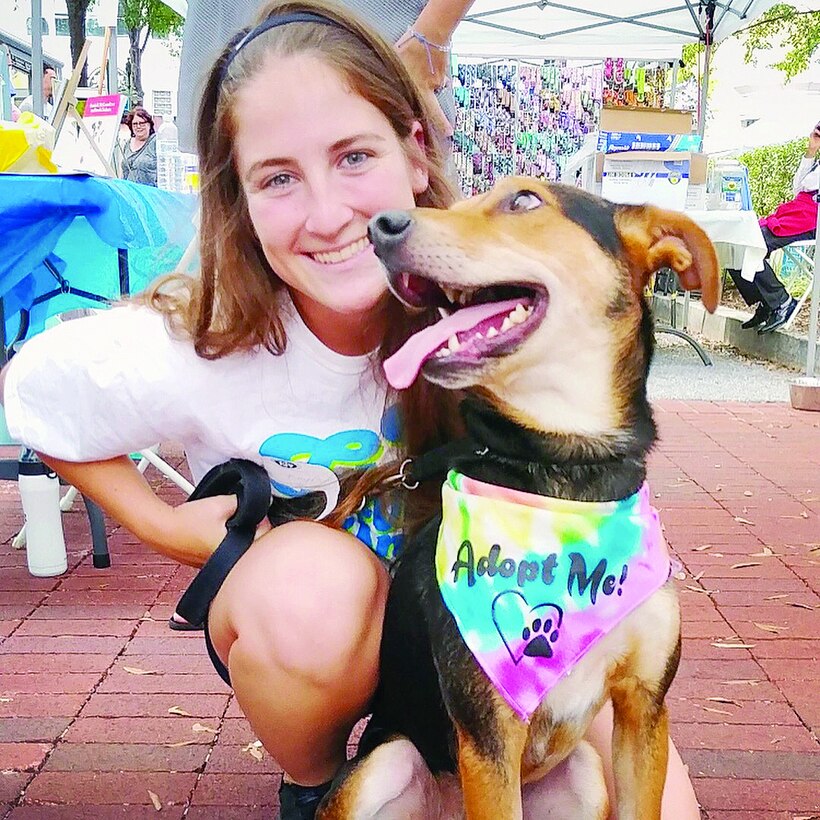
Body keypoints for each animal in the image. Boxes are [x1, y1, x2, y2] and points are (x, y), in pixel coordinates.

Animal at [318, 179, 716, 820]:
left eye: (524, 202)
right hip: (387, 759)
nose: (379, 227)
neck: (568, 464)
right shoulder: (489, 736)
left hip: (586, 777)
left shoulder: (645, 710)